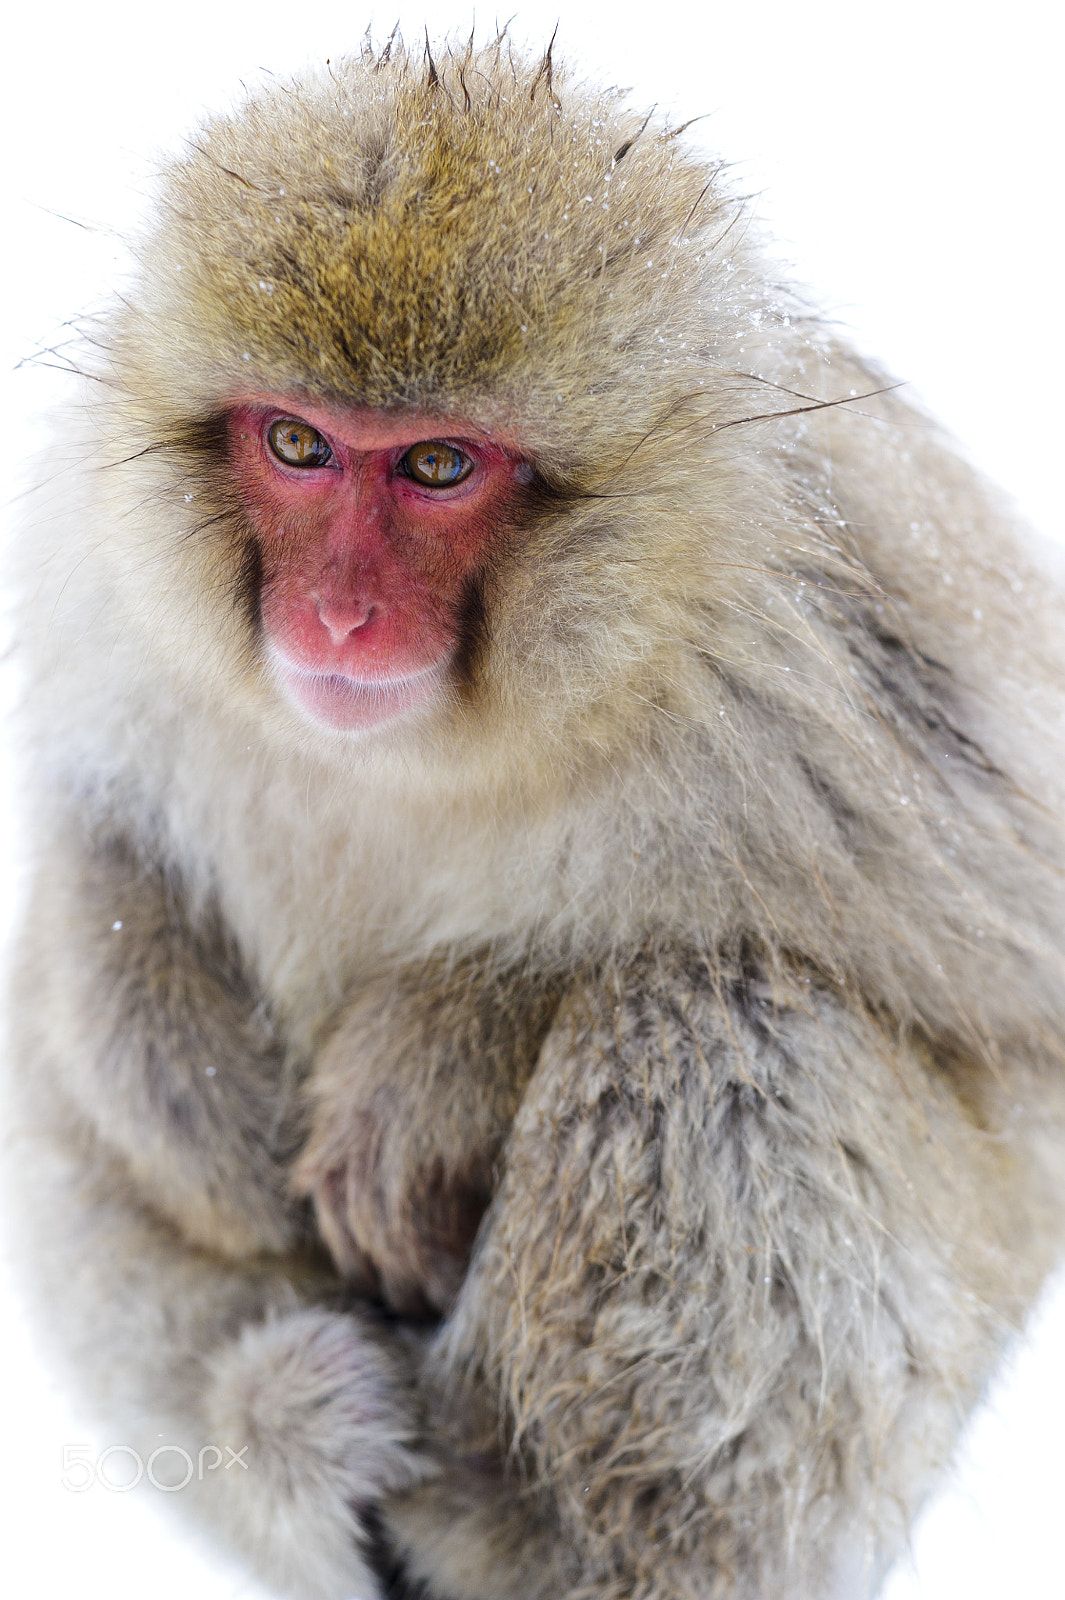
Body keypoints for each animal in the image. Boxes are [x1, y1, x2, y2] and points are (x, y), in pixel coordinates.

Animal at [5, 31, 1065, 1600]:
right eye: (298, 444)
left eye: (438, 465)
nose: (338, 615)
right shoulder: (106, 587)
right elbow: (96, 838)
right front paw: (175, 1075)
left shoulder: (835, 667)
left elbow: (1020, 1019)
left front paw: (443, 1049)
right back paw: (285, 1424)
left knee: (724, 1022)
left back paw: (525, 1519)